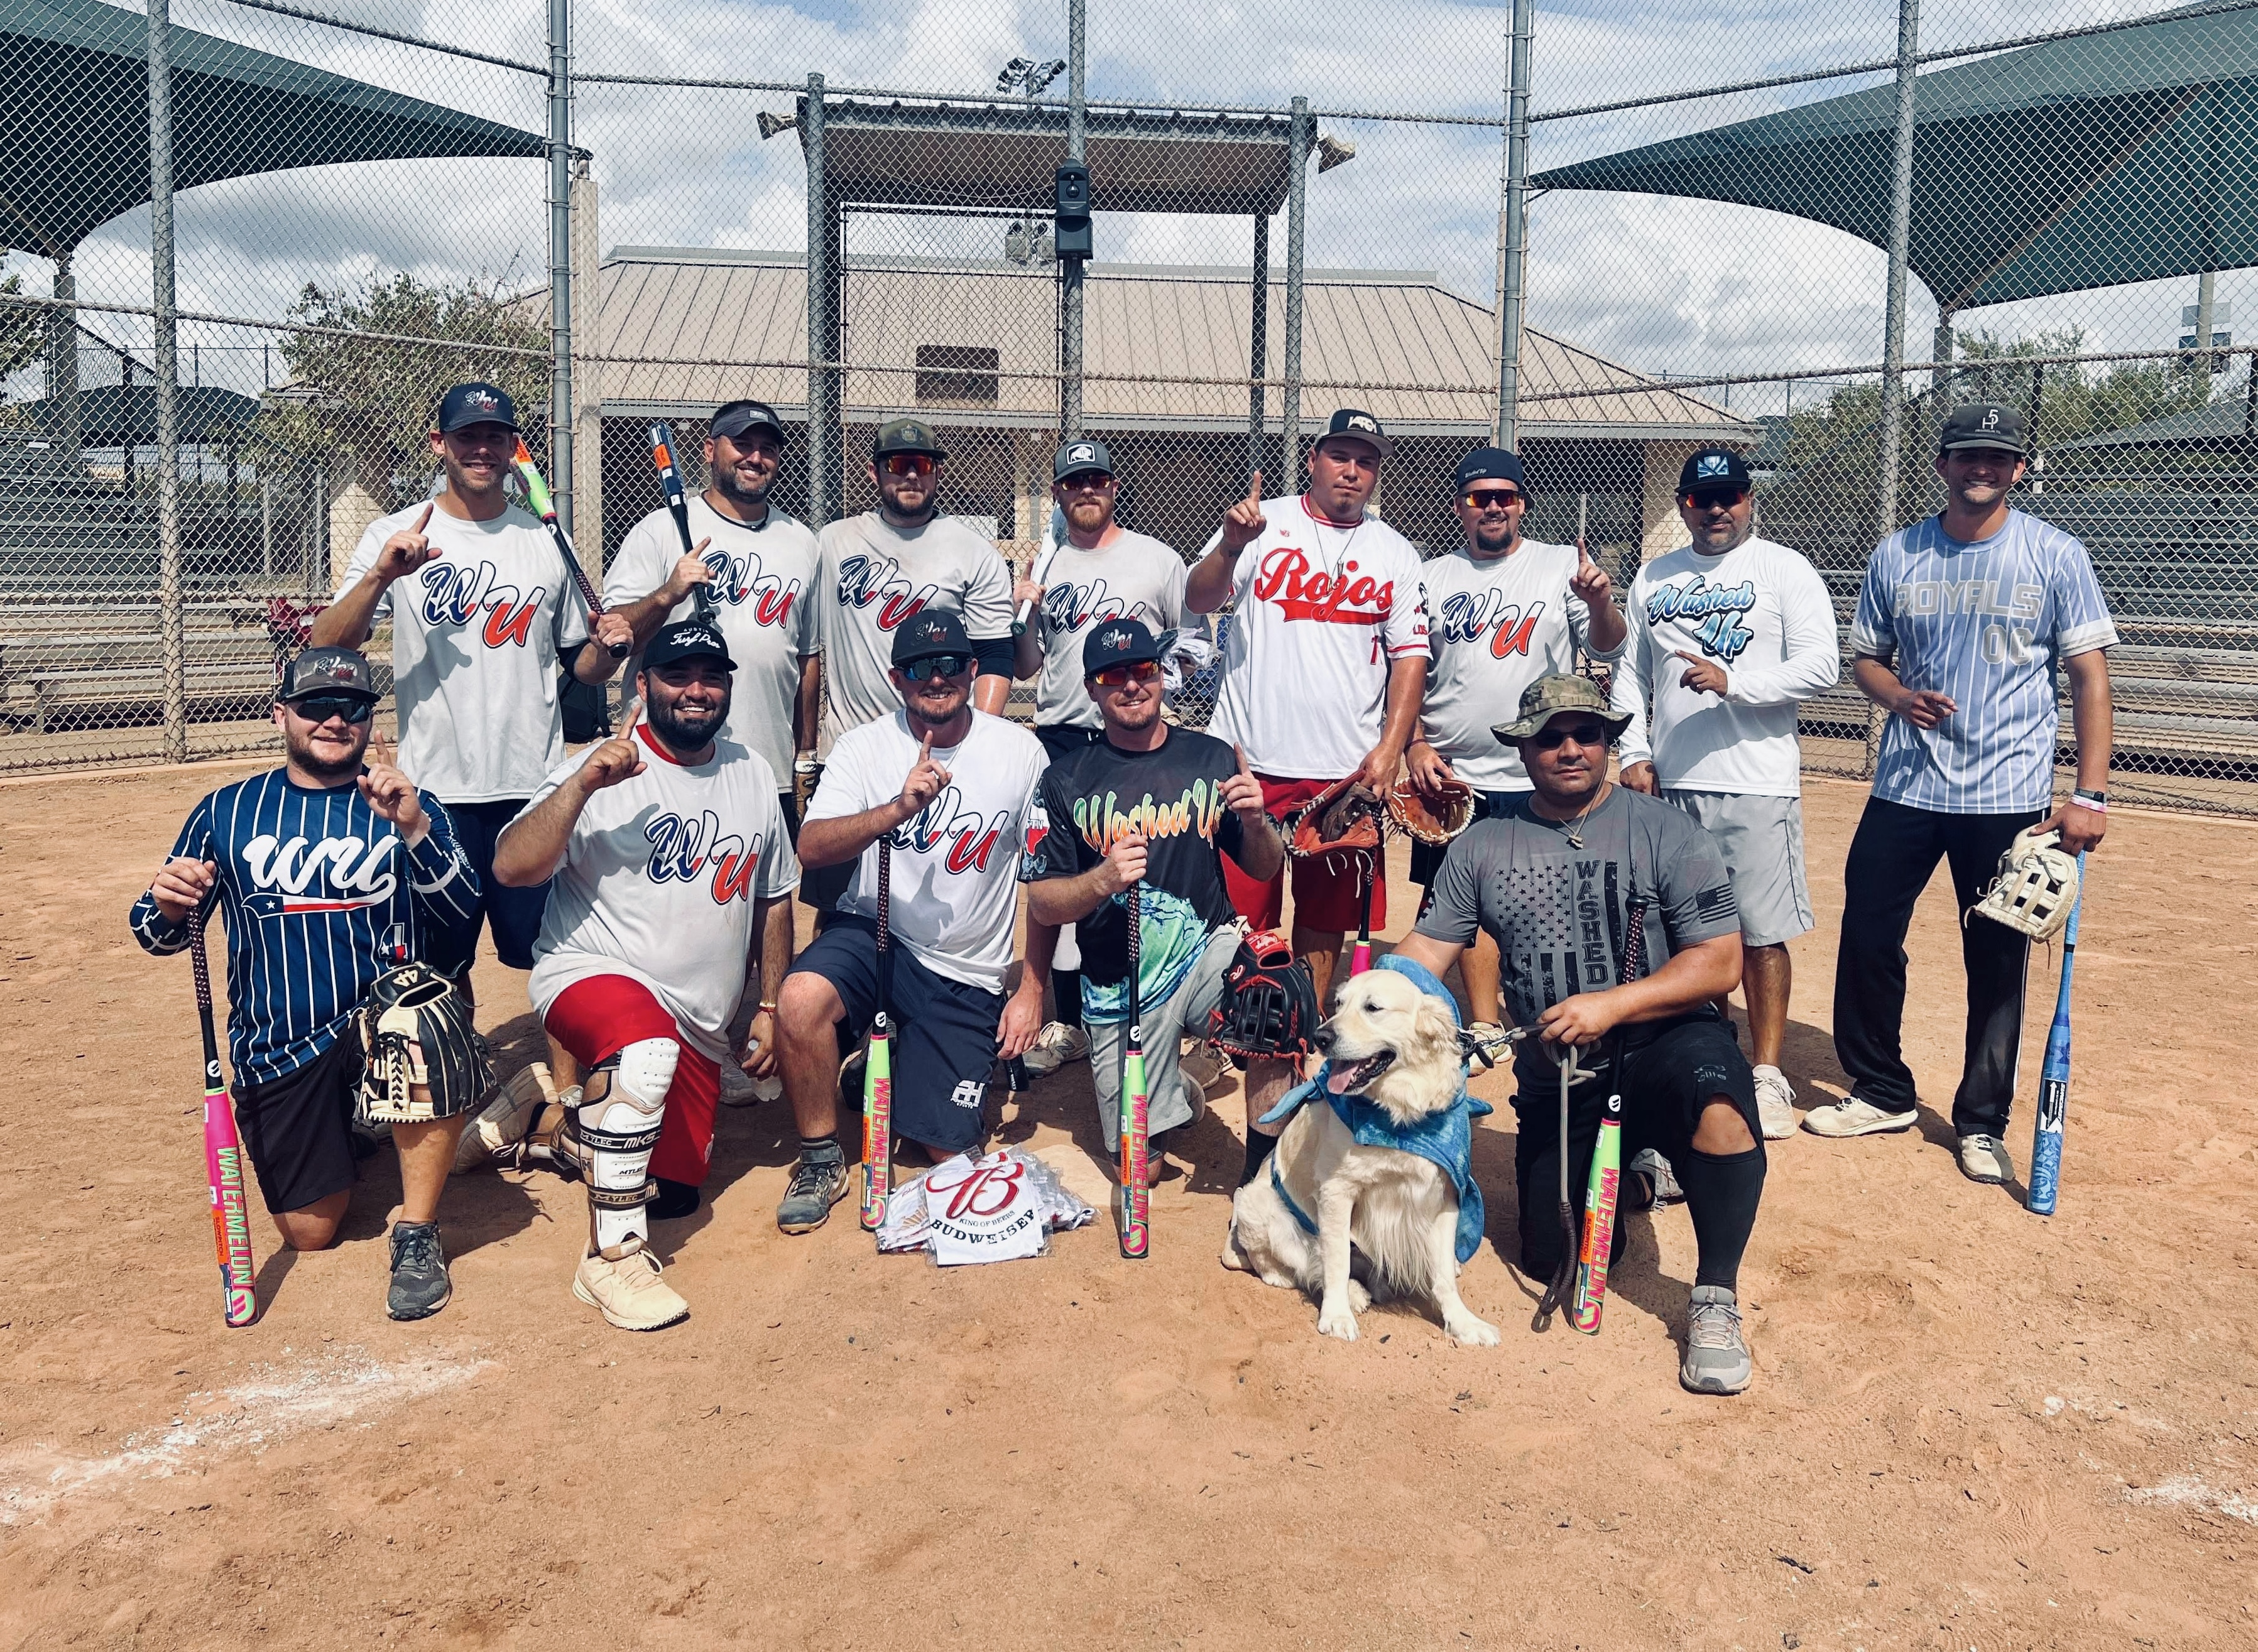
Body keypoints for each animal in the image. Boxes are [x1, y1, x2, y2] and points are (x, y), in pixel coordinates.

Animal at [1228, 965, 1490, 1345]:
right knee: (1304, 1266)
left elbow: (1443, 1274)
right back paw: (1348, 1293)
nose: (1321, 1037)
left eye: (1373, 1008)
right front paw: (1337, 1316)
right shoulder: (1337, 1193)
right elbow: (1336, 1262)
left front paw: (1463, 1322)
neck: (1397, 1114)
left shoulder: (1445, 1194)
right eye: (1338, 1004)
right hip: (1257, 1204)